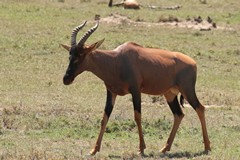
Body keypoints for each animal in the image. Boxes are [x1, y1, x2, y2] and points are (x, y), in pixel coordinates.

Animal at [60, 20, 210, 155]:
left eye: (81, 54)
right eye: (70, 55)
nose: (66, 79)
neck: (116, 60)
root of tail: (193, 63)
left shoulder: (135, 91)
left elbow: (137, 116)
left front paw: (142, 149)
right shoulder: (111, 92)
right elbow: (104, 118)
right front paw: (94, 150)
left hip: (188, 90)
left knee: (200, 108)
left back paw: (207, 147)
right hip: (170, 94)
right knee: (179, 114)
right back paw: (164, 148)